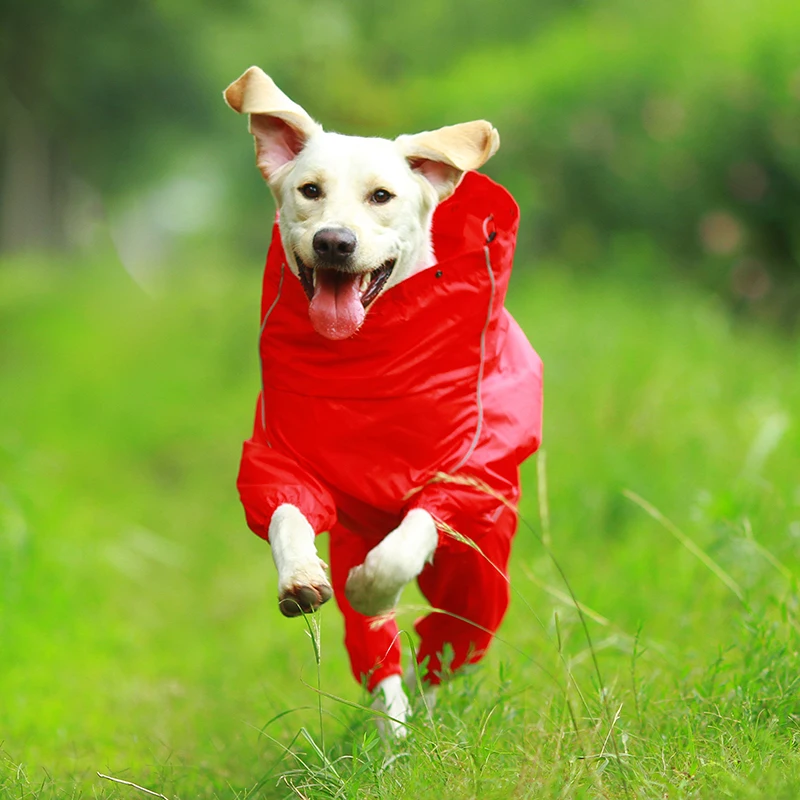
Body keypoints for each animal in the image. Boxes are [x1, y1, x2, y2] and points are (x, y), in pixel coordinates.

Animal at [223, 69, 544, 736]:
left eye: (382, 196)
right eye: (310, 191)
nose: (334, 242)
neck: (365, 366)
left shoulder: (464, 478)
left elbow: (405, 544)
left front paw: (371, 586)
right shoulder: (280, 458)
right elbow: (286, 512)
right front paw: (302, 577)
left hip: (482, 565)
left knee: (456, 631)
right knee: (381, 656)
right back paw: (393, 725)